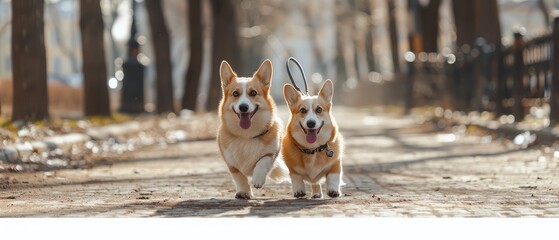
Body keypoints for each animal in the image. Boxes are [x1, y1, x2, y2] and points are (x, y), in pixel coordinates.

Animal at [218, 58, 290, 199]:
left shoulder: (272, 152)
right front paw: (244, 192)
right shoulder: (231, 163)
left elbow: (262, 161)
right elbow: (239, 177)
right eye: (235, 93)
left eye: (253, 93)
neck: (247, 136)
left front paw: (257, 180)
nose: (243, 107)